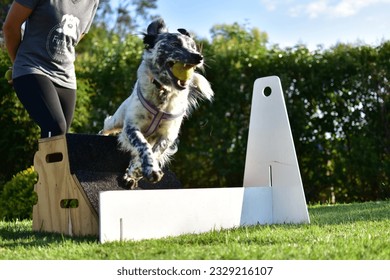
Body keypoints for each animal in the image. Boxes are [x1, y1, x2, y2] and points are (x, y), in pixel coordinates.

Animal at [97, 18, 213, 189]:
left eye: (194, 47)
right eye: (175, 44)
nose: (199, 57)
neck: (162, 92)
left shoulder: (167, 136)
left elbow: (153, 152)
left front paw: (142, 171)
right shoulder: (132, 127)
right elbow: (143, 146)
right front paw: (148, 168)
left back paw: (130, 175)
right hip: (116, 120)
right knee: (107, 127)